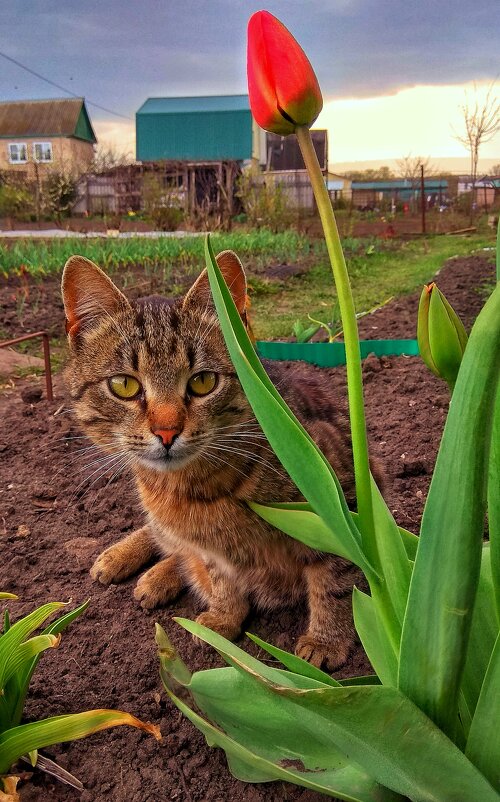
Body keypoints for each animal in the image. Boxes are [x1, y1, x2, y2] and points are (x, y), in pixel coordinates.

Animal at [61, 252, 376, 668]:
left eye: (203, 381)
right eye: (124, 385)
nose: (166, 432)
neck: (191, 490)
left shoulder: (341, 497)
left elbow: (335, 579)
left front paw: (325, 640)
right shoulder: (210, 549)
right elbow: (220, 579)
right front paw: (225, 618)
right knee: (165, 539)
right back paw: (130, 562)